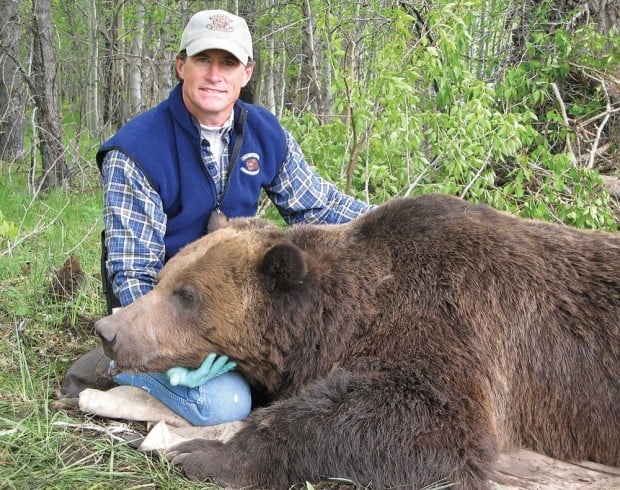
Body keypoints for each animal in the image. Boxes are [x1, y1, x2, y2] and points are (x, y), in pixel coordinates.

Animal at [94, 193, 616, 488]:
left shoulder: (452, 320)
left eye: (187, 295)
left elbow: (433, 422)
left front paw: (201, 453)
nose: (109, 331)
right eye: (164, 275)